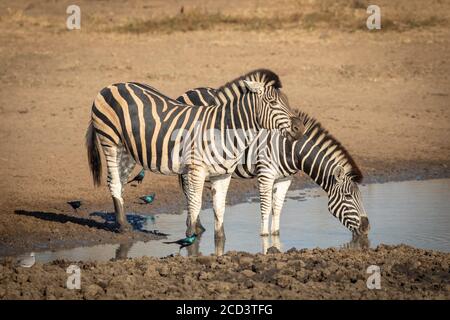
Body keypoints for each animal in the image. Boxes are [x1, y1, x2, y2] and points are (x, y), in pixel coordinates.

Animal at [85, 69, 302, 234]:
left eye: (287, 101)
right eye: (273, 103)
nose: (300, 127)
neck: (224, 128)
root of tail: (112, 85)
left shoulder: (223, 174)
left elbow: (219, 209)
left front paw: (218, 243)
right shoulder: (198, 170)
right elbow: (196, 202)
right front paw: (191, 235)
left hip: (128, 150)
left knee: (120, 182)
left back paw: (121, 221)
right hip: (110, 141)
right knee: (113, 181)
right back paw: (122, 227)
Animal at [176, 87, 370, 238]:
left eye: (360, 196)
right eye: (348, 196)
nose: (367, 228)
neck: (290, 147)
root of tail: (186, 93)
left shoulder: (285, 178)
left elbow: (277, 207)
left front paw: (276, 236)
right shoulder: (265, 174)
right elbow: (266, 206)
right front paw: (264, 237)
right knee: (188, 189)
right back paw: (195, 226)